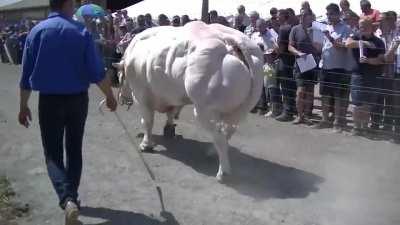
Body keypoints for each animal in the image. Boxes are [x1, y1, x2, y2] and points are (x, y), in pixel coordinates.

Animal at [112, 21, 264, 181]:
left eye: (119, 75)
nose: (121, 98)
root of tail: (229, 40)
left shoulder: (141, 96)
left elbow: (147, 121)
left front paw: (146, 145)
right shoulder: (171, 97)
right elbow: (170, 114)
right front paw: (169, 129)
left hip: (205, 110)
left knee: (220, 138)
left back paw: (223, 173)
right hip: (242, 109)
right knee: (228, 131)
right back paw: (212, 152)